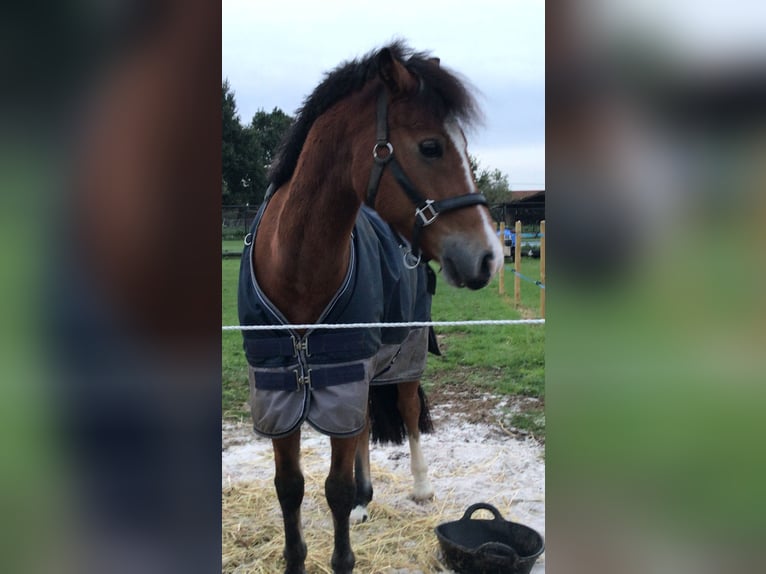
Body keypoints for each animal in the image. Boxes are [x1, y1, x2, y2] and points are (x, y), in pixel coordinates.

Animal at [240, 42, 504, 572]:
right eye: (431, 146)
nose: (490, 256)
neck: (295, 269)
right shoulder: (280, 393)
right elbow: (289, 488)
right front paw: (298, 557)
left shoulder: (343, 376)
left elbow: (335, 490)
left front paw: (344, 552)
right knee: (364, 425)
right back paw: (366, 501)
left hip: (406, 356)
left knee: (406, 412)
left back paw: (420, 487)